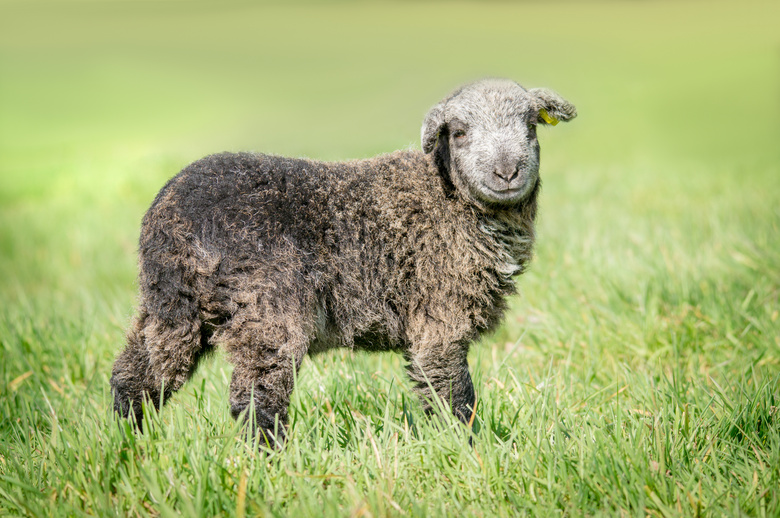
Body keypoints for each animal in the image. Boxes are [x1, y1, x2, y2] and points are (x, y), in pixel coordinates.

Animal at [109, 78, 576, 446]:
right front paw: (467, 451)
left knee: (139, 374)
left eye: (531, 125)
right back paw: (268, 462)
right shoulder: (439, 316)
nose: (507, 172)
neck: (447, 197)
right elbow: (453, 398)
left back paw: (125, 441)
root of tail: (172, 218)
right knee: (256, 399)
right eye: (459, 132)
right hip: (266, 308)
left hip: (172, 307)